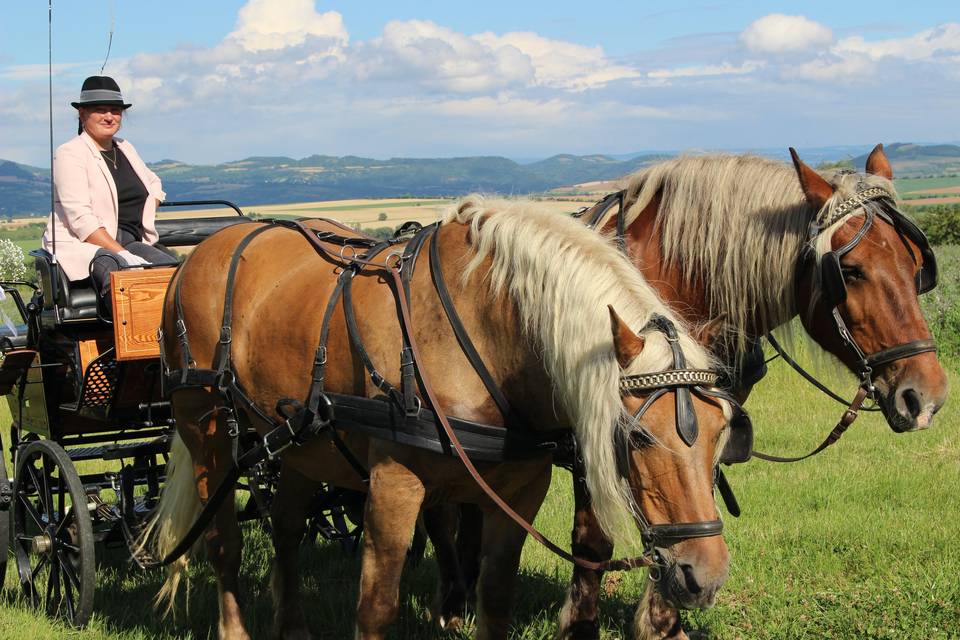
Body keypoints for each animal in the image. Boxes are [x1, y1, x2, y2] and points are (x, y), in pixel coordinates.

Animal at [139, 198, 744, 636]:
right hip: (206, 434)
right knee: (224, 547)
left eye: (721, 435)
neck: (486, 330)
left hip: (298, 445)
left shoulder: (520, 489)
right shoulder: (394, 486)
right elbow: (377, 607)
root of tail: (201, 252)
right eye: (637, 437)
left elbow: (494, 598)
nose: (705, 575)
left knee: (286, 529)